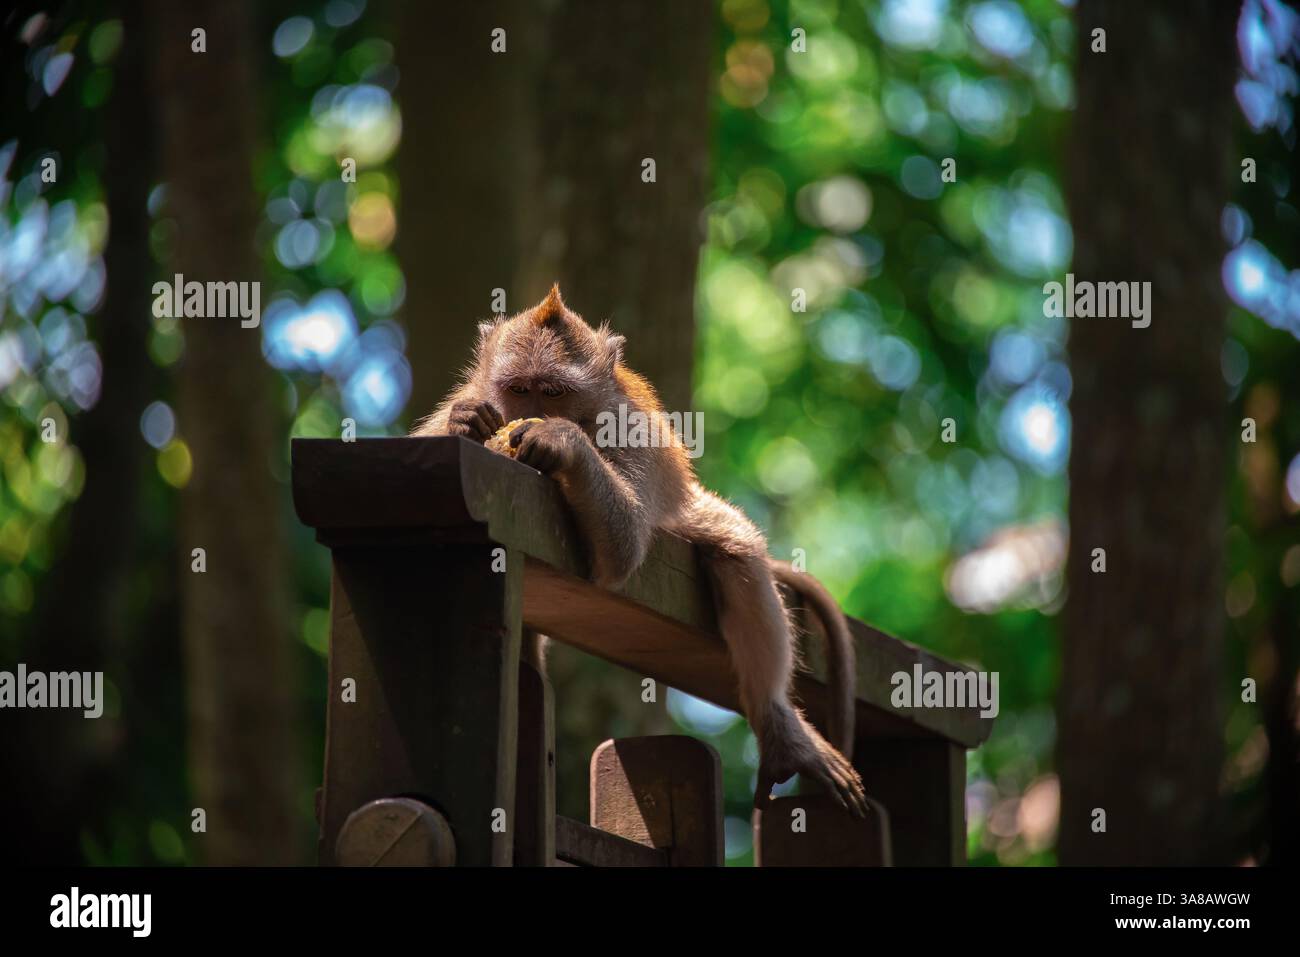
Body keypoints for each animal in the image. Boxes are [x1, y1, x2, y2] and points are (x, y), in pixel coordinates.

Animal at [412, 286, 867, 817]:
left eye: (553, 393)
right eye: (519, 389)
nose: (540, 414)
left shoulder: (628, 427)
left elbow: (624, 548)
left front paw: (562, 441)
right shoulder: (476, 394)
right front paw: (464, 425)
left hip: (681, 510)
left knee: (735, 548)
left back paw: (781, 731)